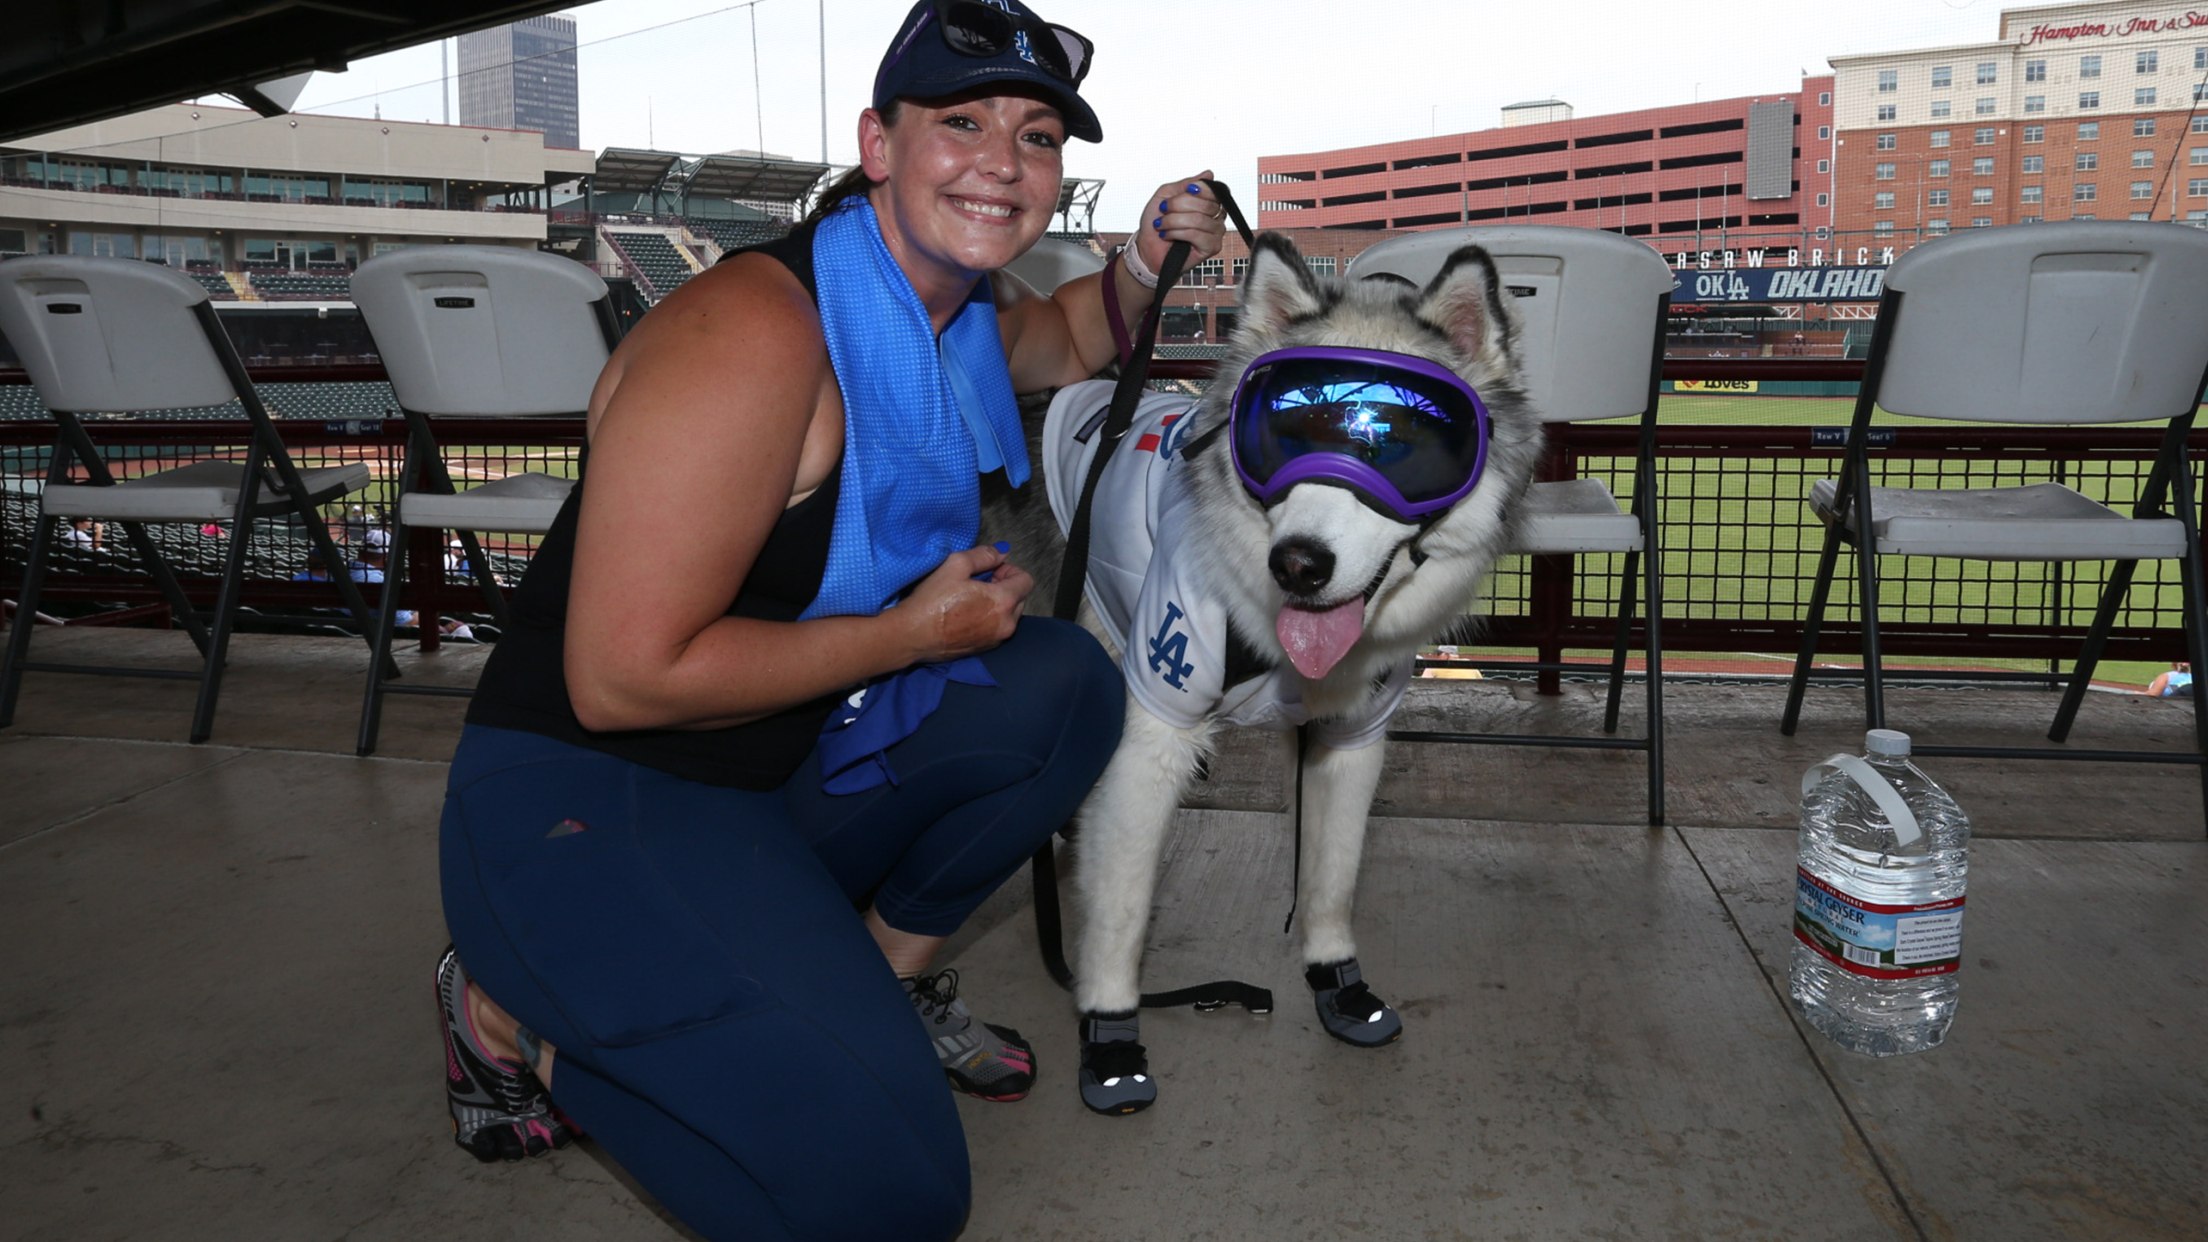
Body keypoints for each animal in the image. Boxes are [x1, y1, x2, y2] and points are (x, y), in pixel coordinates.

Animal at [993, 232, 1545, 1113]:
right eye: (1285, 435)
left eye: (1397, 446)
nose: (1299, 566)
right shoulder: (1152, 734)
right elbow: (1122, 908)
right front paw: (1108, 1033)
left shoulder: (1351, 739)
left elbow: (1332, 876)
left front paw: (1336, 982)